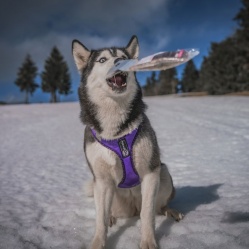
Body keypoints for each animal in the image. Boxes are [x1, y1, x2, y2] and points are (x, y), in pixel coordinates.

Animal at [72, 35, 183, 249]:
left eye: (124, 57)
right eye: (102, 60)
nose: (119, 62)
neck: (116, 132)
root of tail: (132, 209)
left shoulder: (150, 172)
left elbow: (147, 214)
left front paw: (148, 242)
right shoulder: (102, 178)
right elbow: (100, 219)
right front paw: (98, 242)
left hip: (163, 172)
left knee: (157, 208)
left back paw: (171, 211)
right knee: (106, 211)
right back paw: (111, 218)